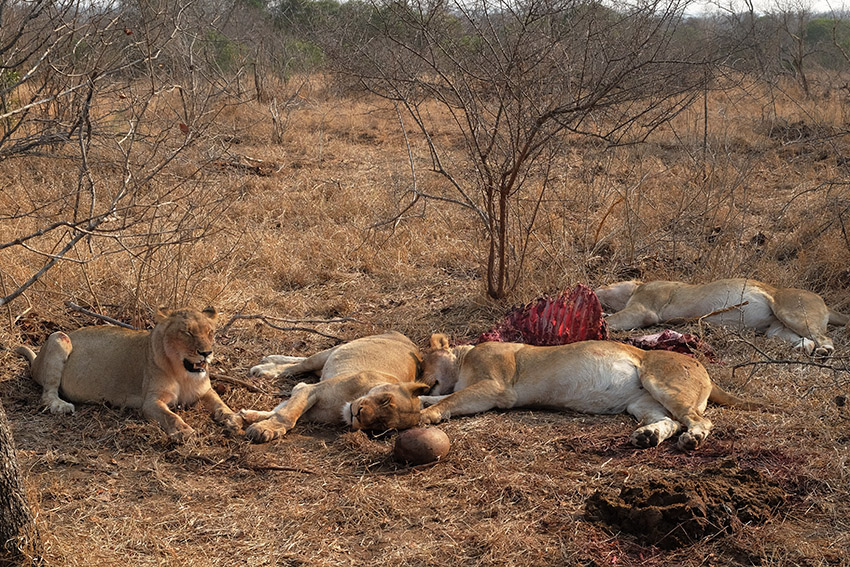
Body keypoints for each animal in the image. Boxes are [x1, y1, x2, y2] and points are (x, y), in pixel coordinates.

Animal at [14, 308, 240, 442]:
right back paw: (61, 405)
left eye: (210, 332)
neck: (183, 373)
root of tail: (36, 361)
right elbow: (171, 416)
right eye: (187, 332)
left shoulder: (205, 391)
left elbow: (220, 404)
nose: (206, 353)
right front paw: (184, 431)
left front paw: (234, 418)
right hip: (58, 337)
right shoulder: (151, 401)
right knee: (47, 394)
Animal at [238, 332, 428, 444]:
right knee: (301, 364)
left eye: (380, 426)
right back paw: (265, 367)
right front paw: (263, 429)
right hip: (334, 350)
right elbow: (287, 415)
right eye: (385, 400)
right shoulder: (308, 389)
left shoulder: (307, 406)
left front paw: (248, 417)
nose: (358, 414)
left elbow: (280, 411)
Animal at [362, 332, 760, 452]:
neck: (462, 360)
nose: (421, 379)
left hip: (661, 382)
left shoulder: (494, 387)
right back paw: (647, 436)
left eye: (421, 365)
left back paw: (693, 439)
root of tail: (701, 366)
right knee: (669, 421)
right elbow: (443, 396)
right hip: (641, 402)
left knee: (699, 420)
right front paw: (423, 402)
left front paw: (427, 414)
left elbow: (450, 400)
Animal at [592, 278, 844, 358]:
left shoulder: (644, 308)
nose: (594, 286)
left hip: (792, 312)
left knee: (825, 338)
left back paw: (824, 351)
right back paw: (803, 349)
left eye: (606, 284)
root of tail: (825, 303)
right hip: (776, 330)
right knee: (807, 340)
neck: (636, 287)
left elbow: (614, 320)